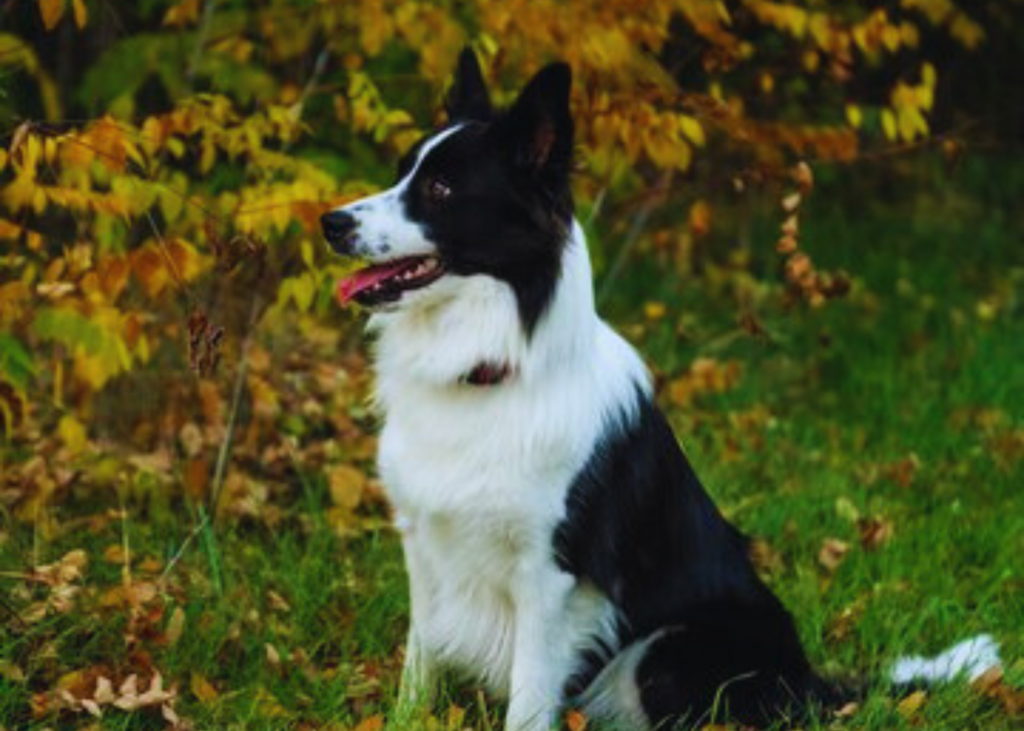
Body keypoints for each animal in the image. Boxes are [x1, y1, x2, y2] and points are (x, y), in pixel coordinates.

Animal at [323, 51, 1003, 728]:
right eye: (401, 173)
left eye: (440, 190)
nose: (330, 222)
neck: (490, 366)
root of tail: (805, 682)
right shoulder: (424, 540)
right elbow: (421, 658)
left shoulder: (549, 573)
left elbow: (529, 695)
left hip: (668, 650)